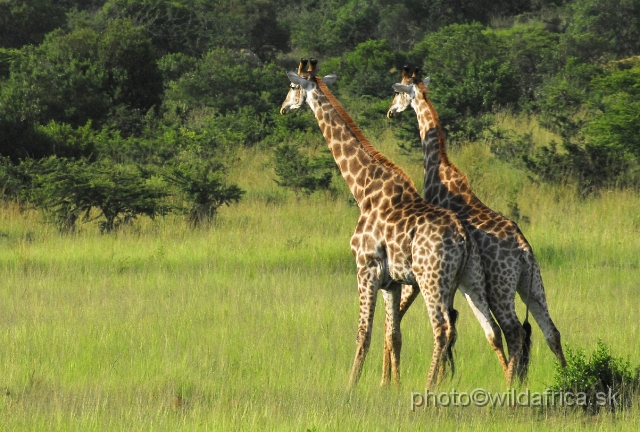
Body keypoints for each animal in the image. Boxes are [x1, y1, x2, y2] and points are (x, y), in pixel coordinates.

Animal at [280, 58, 510, 388]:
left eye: (292, 85)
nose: (283, 107)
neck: (363, 188)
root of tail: (464, 239)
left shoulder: (366, 268)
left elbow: (363, 334)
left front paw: (351, 386)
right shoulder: (392, 281)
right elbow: (394, 334)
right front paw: (391, 387)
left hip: (431, 278)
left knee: (443, 328)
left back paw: (429, 388)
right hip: (470, 279)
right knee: (490, 329)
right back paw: (510, 384)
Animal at [388, 66, 568, 384]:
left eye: (398, 92)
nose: (389, 112)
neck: (439, 167)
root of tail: (524, 251)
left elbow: (452, 322)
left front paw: (443, 376)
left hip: (500, 286)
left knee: (514, 331)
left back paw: (510, 385)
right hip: (532, 284)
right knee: (551, 331)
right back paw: (566, 379)